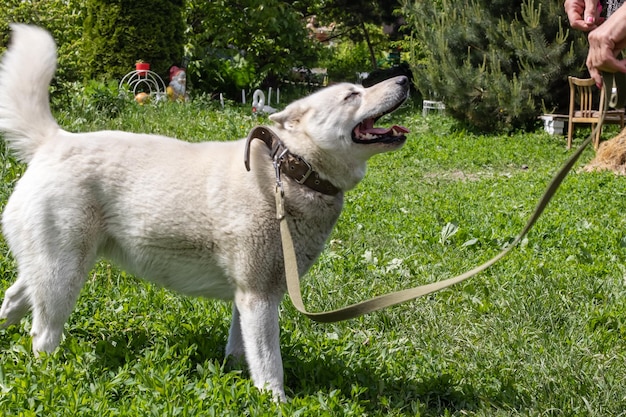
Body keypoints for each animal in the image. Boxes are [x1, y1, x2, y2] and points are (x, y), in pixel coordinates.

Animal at [0, 23, 410, 400]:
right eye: (352, 94)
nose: (405, 78)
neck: (291, 170)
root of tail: (54, 140)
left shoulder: (249, 298)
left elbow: (240, 348)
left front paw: (235, 377)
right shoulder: (259, 296)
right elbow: (269, 362)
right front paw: (275, 401)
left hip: (49, 267)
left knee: (12, 300)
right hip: (63, 275)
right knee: (42, 334)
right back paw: (50, 373)